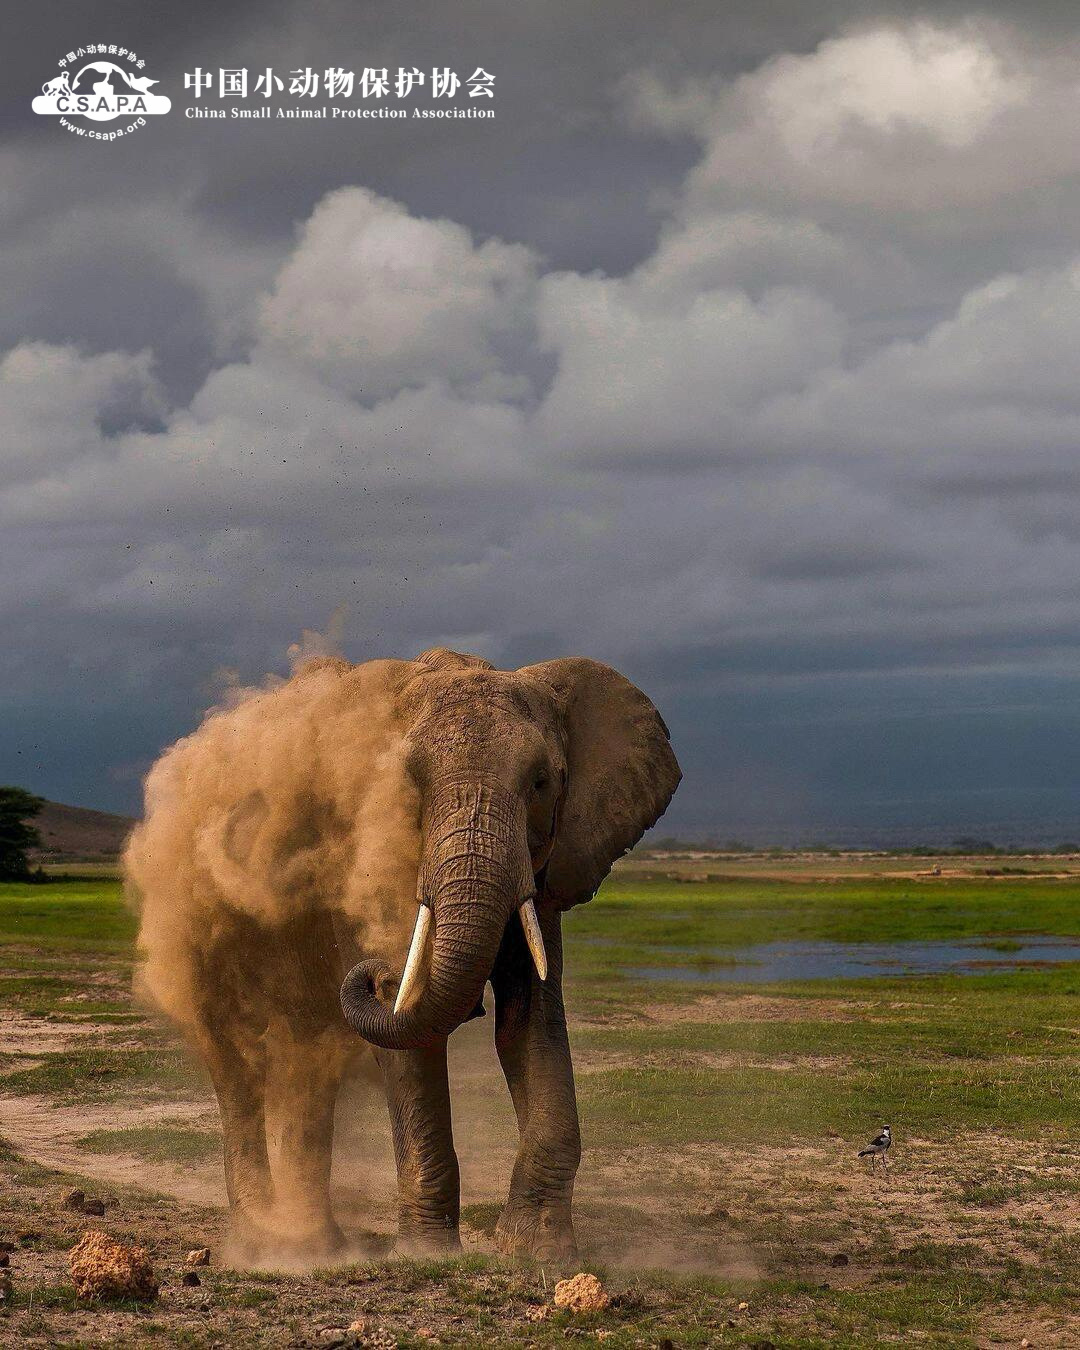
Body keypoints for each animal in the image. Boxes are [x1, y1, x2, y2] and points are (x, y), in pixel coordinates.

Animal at [126, 648, 680, 1269]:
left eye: (541, 783)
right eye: (410, 785)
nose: (369, 974)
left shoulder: (544, 868)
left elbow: (530, 1020)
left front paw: (539, 1254)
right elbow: (409, 1029)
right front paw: (429, 1254)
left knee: (307, 1062)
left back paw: (312, 1245)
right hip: (194, 919)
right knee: (236, 1061)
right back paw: (263, 1246)